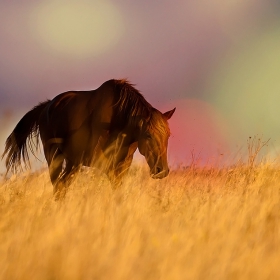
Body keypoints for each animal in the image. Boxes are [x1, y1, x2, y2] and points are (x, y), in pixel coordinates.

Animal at [1, 79, 175, 197]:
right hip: (54, 157)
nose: (162, 170)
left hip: (73, 163)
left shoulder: (122, 165)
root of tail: (47, 106)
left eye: (168, 135)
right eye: (148, 135)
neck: (118, 119)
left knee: (62, 185)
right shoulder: (101, 161)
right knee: (57, 185)